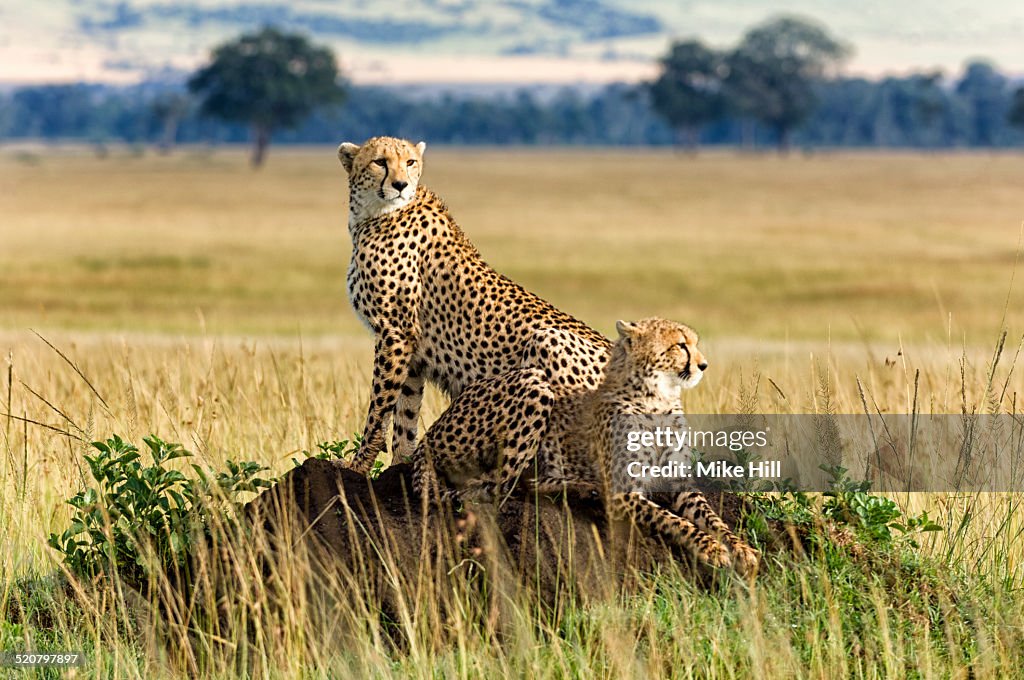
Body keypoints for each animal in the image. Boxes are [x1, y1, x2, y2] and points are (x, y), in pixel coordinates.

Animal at [337, 135, 606, 475]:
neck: (374, 214)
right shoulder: (411, 346)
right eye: (380, 162)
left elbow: (379, 407)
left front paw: (357, 465)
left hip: (546, 339)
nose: (400, 185)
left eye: (410, 162)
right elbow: (405, 413)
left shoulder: (394, 333)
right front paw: (399, 464)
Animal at [413, 319, 761, 577]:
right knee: (500, 487)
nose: (703, 365)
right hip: (535, 384)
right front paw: (710, 548)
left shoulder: (679, 482)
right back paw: (582, 487)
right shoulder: (623, 491)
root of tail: (427, 438)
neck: (658, 399)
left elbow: (711, 518)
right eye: (680, 345)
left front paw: (740, 548)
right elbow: (673, 520)